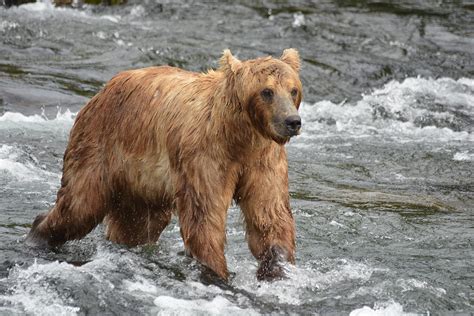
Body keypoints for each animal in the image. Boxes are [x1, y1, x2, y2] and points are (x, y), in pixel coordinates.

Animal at [25, 48, 302, 280]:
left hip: (143, 182)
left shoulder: (262, 160)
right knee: (80, 205)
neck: (238, 136)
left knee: (136, 225)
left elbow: (269, 216)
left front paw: (276, 268)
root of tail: (102, 90)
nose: (292, 121)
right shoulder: (205, 157)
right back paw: (37, 234)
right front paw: (218, 274)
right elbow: (205, 220)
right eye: (267, 91)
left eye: (293, 90)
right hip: (100, 147)